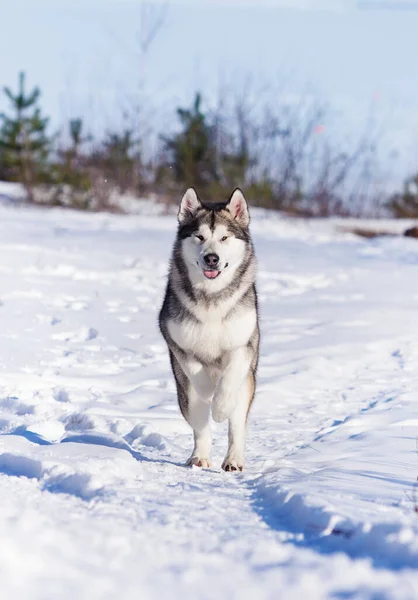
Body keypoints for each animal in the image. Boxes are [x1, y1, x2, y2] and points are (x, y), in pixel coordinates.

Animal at [159, 190, 260, 472]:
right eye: (199, 236)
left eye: (224, 237)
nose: (211, 258)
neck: (211, 298)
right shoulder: (176, 340)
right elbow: (195, 371)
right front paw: (207, 392)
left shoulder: (243, 344)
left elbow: (230, 377)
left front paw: (220, 407)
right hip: (183, 392)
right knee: (199, 424)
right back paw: (200, 456)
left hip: (247, 385)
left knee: (236, 425)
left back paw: (233, 459)